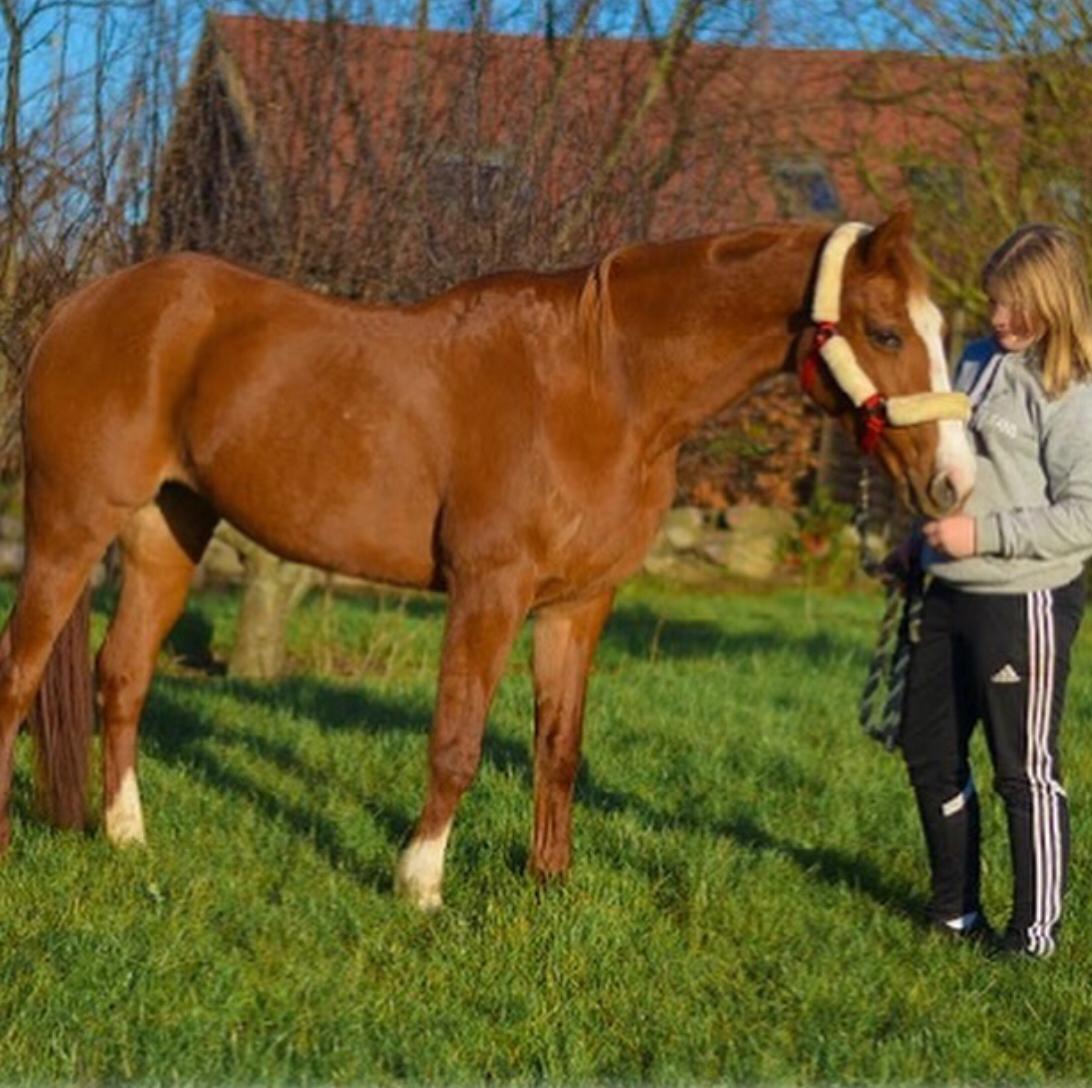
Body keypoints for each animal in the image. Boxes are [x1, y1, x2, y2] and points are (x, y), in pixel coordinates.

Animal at [0, 208, 974, 904]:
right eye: (885, 331)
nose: (954, 483)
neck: (606, 383)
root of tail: (85, 305)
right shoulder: (488, 591)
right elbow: (459, 740)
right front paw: (420, 884)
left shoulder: (578, 604)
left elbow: (559, 745)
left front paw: (549, 881)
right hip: (69, 524)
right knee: (21, 671)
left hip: (167, 532)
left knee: (122, 674)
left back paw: (128, 838)